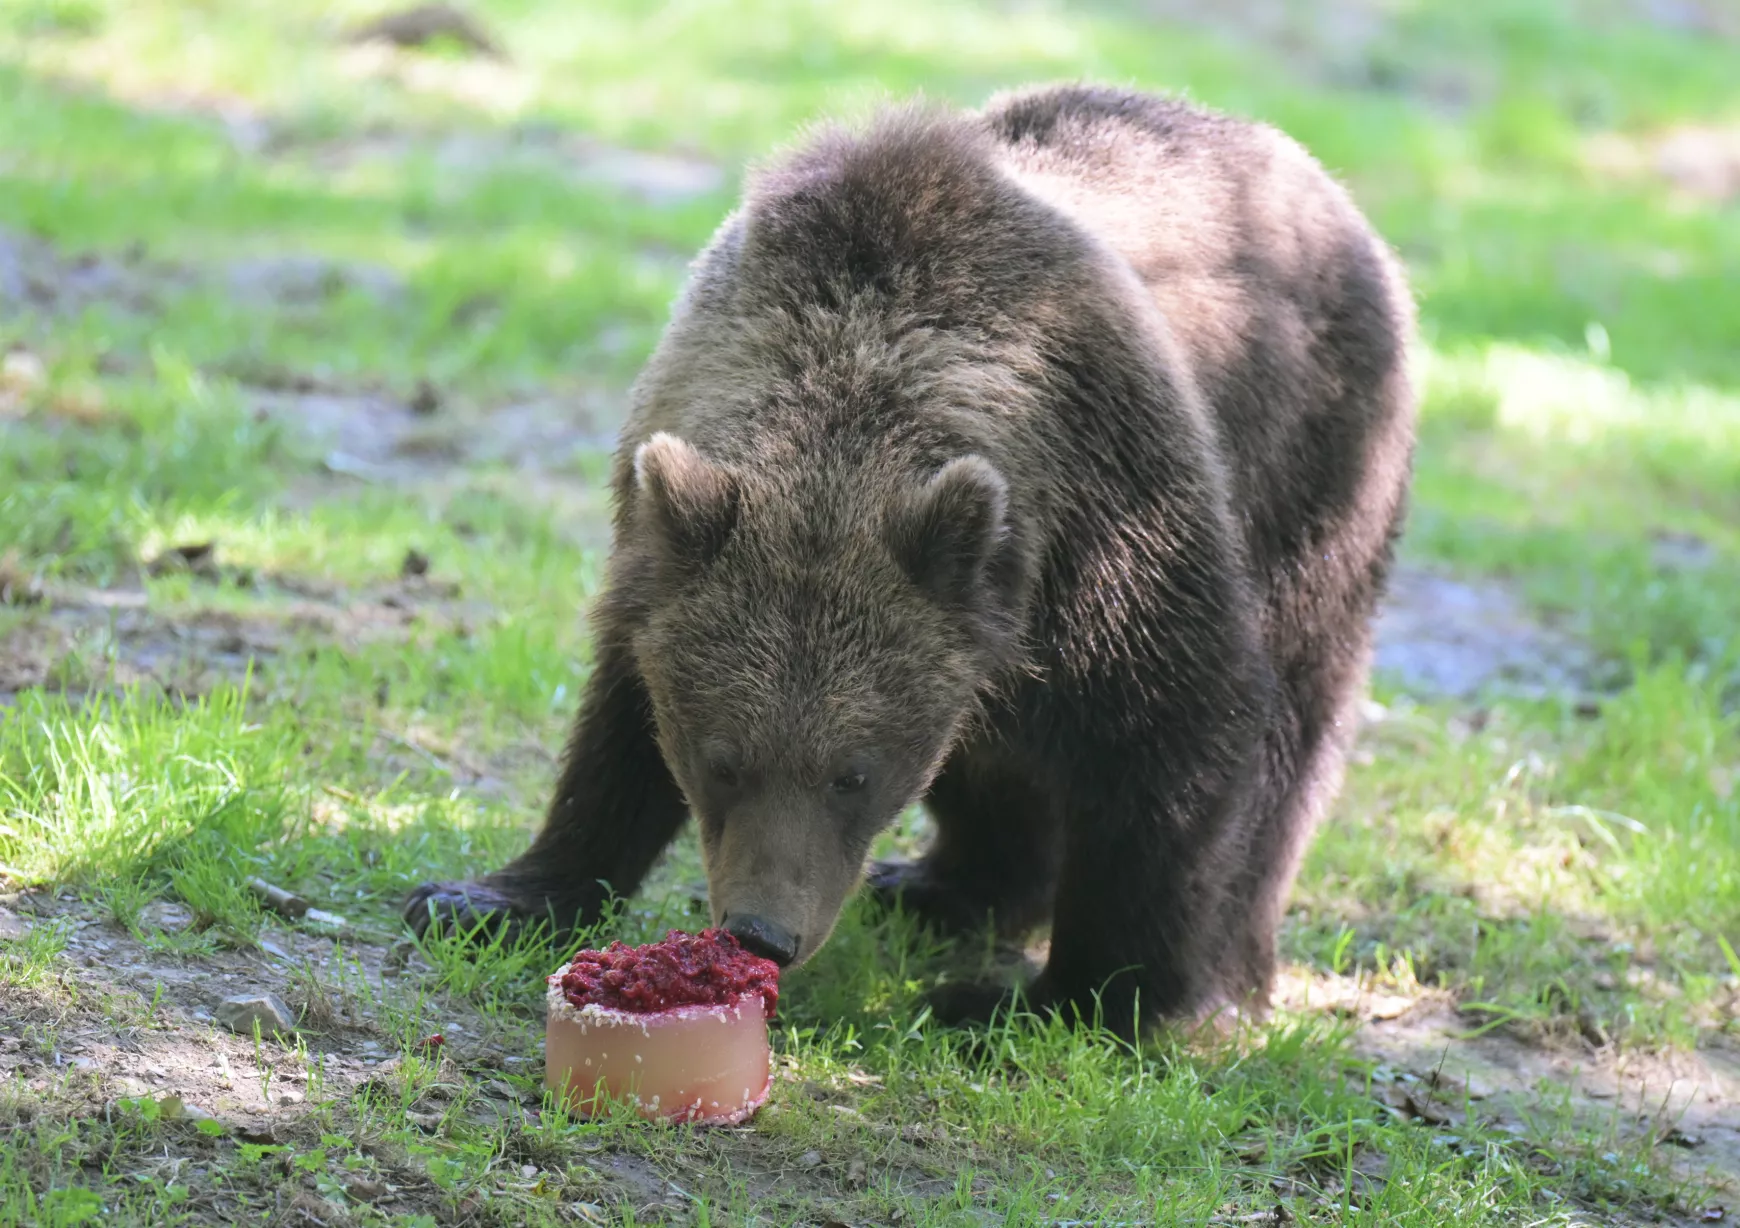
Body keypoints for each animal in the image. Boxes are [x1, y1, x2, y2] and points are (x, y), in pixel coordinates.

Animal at [407, 81, 1412, 1029]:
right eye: (722, 758)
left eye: (852, 772)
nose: (762, 932)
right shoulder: (666, 523)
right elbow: (619, 714)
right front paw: (488, 896)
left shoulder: (1111, 518)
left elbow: (1174, 733)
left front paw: (1079, 995)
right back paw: (938, 886)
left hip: (1315, 472)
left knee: (1289, 731)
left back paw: (1225, 971)